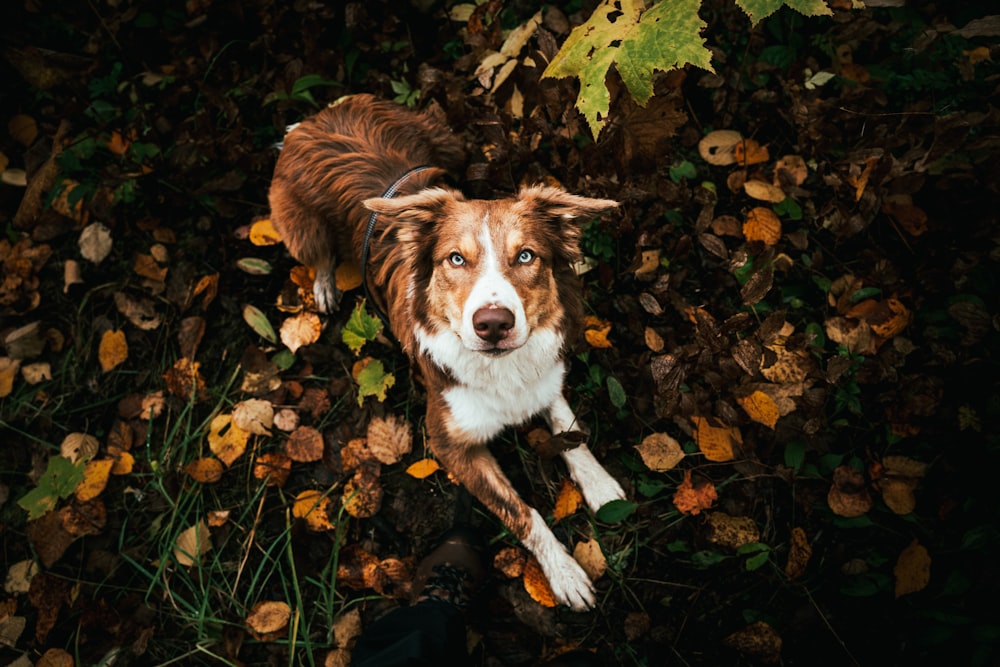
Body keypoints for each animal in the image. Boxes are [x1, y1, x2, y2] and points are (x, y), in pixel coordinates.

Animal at [266, 94, 624, 612]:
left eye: (526, 256)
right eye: (455, 259)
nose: (493, 324)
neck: (502, 372)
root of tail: (312, 122)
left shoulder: (544, 378)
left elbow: (568, 426)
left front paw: (598, 484)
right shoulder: (449, 443)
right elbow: (522, 513)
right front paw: (564, 574)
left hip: (447, 141)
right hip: (300, 228)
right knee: (319, 257)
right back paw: (325, 285)